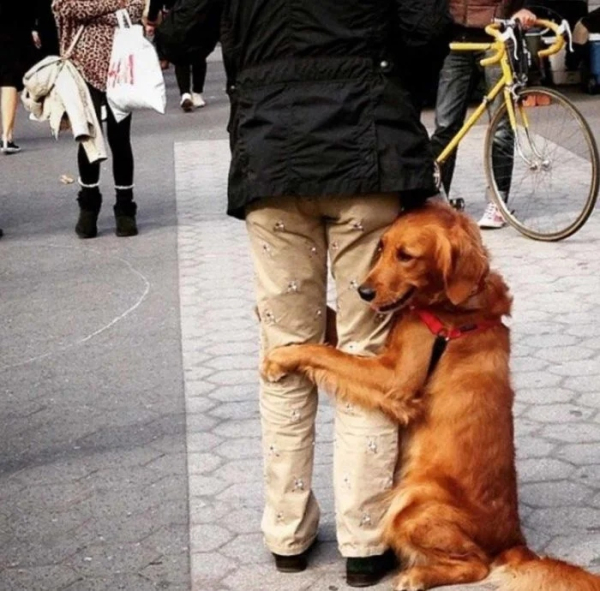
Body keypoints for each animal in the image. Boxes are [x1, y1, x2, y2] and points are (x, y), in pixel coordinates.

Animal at [262, 201, 600, 588]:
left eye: (406, 256)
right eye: (381, 248)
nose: (364, 292)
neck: (457, 309)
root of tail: (513, 541)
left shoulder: (394, 377)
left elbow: (326, 354)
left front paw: (281, 357)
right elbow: (330, 330)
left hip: (411, 502)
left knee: (476, 565)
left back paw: (416, 574)